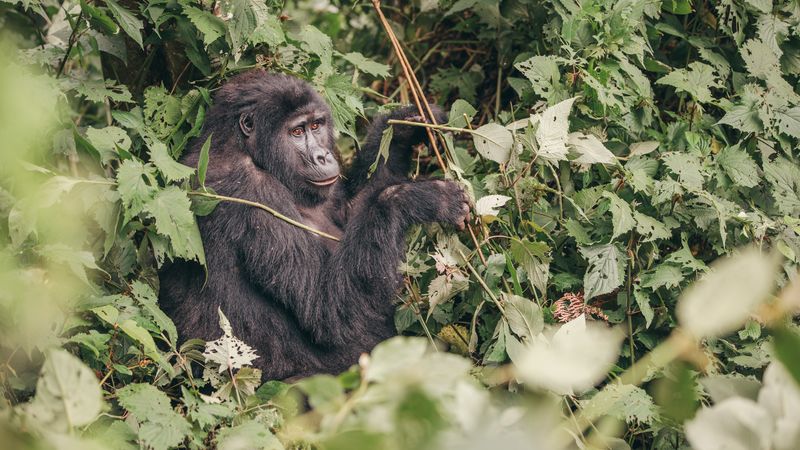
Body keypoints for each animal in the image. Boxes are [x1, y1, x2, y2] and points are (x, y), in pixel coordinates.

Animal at [161, 70, 468, 380]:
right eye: (297, 132)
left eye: (317, 125)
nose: (323, 155)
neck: (238, 146)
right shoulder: (251, 191)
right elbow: (326, 310)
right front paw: (412, 199)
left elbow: (352, 212)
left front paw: (407, 123)